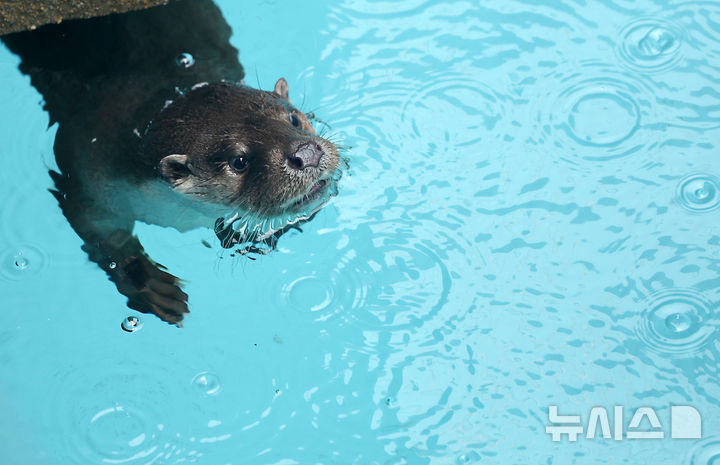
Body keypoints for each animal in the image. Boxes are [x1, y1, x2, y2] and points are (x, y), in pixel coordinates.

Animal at [2, 0, 340, 324]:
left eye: (293, 119)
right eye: (239, 161)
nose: (306, 154)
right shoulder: (85, 175)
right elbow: (99, 233)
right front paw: (151, 285)